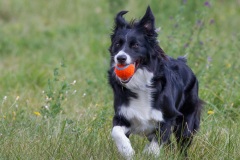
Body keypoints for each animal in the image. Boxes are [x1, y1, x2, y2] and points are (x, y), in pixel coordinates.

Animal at [108, 6, 203, 159]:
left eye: (135, 45)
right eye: (117, 44)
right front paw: (127, 151)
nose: (120, 58)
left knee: (183, 143)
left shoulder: (168, 117)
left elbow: (158, 140)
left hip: (187, 120)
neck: (140, 83)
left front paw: (149, 152)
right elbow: (116, 131)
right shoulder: (123, 115)